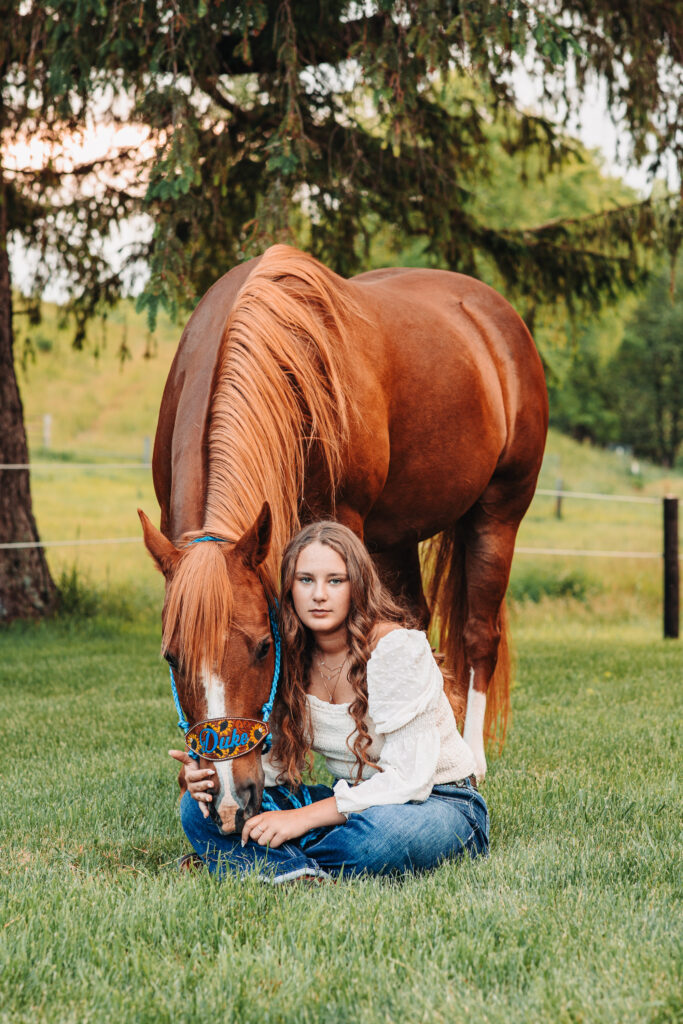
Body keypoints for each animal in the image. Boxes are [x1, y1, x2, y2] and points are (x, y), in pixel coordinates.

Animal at [140, 245, 548, 831]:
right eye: (172, 657)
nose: (229, 803)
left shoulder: (339, 524)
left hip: (497, 515)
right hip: (394, 536)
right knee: (414, 622)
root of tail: (495, 314)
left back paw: (472, 757)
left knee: (478, 637)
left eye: (263, 648)